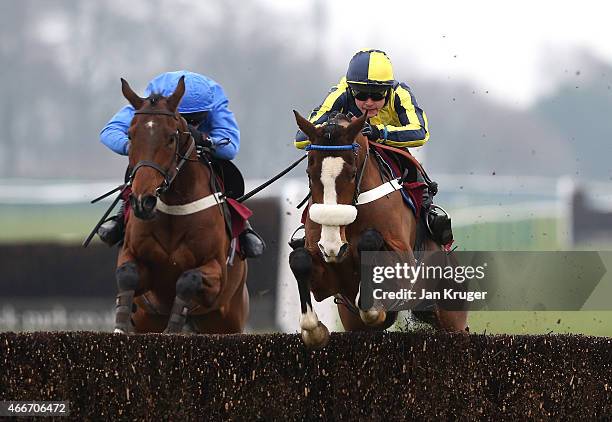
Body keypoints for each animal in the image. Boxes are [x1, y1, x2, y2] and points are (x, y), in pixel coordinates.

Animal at [113, 76, 247, 332]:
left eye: (171, 138)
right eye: (130, 136)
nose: (143, 201)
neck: (174, 210)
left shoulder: (216, 273)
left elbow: (188, 279)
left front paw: (173, 328)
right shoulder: (134, 259)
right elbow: (126, 273)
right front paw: (120, 327)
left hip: (228, 318)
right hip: (148, 319)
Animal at [290, 110, 466, 348]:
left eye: (352, 174)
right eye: (310, 173)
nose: (332, 246)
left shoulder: (403, 260)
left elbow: (369, 242)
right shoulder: (328, 277)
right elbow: (299, 259)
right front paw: (314, 330)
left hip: (453, 315)